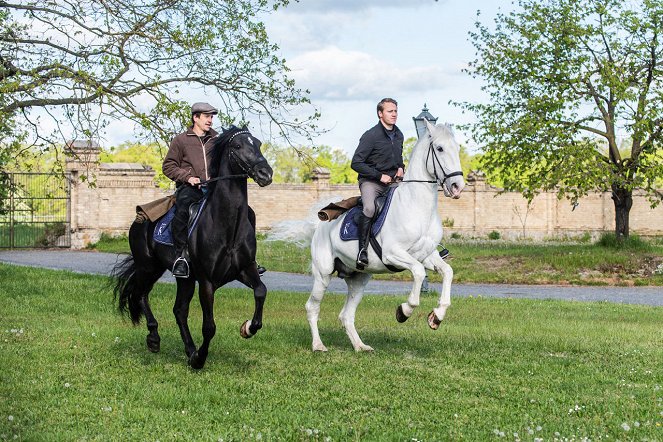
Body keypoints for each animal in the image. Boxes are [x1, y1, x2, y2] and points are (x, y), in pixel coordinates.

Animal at [111, 126, 272, 368]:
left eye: (259, 144)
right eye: (237, 146)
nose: (266, 174)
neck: (226, 225)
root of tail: (140, 218)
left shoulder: (244, 269)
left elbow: (261, 291)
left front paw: (247, 328)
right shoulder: (206, 281)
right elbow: (209, 327)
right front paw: (199, 359)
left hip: (183, 278)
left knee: (178, 310)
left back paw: (188, 349)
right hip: (148, 267)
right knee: (140, 294)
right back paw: (154, 339)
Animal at [292, 121, 466, 352]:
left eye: (457, 148)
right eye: (440, 148)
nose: (457, 187)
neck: (417, 207)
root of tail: (319, 226)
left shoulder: (426, 256)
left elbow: (447, 272)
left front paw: (436, 317)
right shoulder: (394, 254)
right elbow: (419, 273)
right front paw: (404, 311)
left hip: (359, 279)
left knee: (346, 315)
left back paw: (360, 346)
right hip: (323, 274)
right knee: (312, 307)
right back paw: (318, 346)